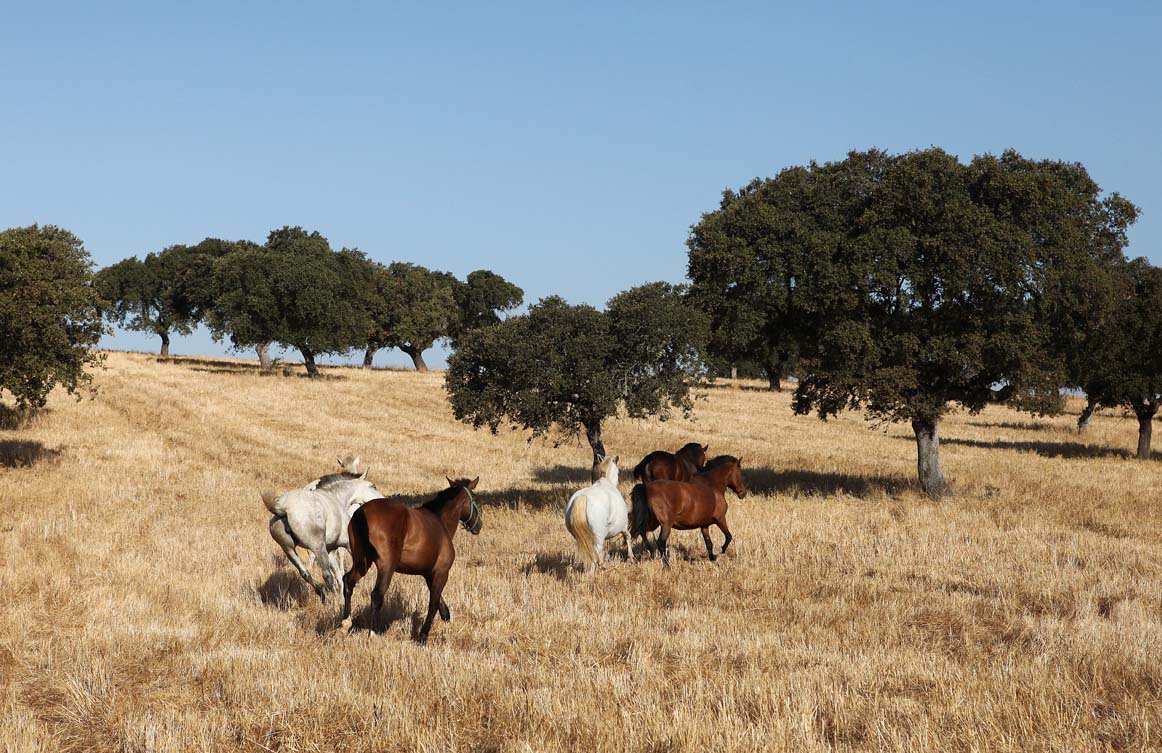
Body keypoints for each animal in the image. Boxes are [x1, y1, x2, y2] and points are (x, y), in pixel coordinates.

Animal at [262, 467, 381, 602]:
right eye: (373, 486)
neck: (335, 497)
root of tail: (283, 508)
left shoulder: (331, 549)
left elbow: (338, 573)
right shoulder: (346, 544)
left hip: (288, 549)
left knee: (305, 573)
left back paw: (323, 594)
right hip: (318, 547)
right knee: (326, 575)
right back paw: (334, 599)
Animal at [340, 477, 482, 643]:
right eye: (475, 499)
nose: (479, 526)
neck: (440, 522)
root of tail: (362, 511)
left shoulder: (428, 574)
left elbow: (439, 602)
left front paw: (445, 618)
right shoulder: (441, 573)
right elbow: (433, 603)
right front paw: (423, 636)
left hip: (361, 562)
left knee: (348, 581)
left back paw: (345, 624)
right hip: (386, 567)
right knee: (377, 595)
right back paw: (373, 633)